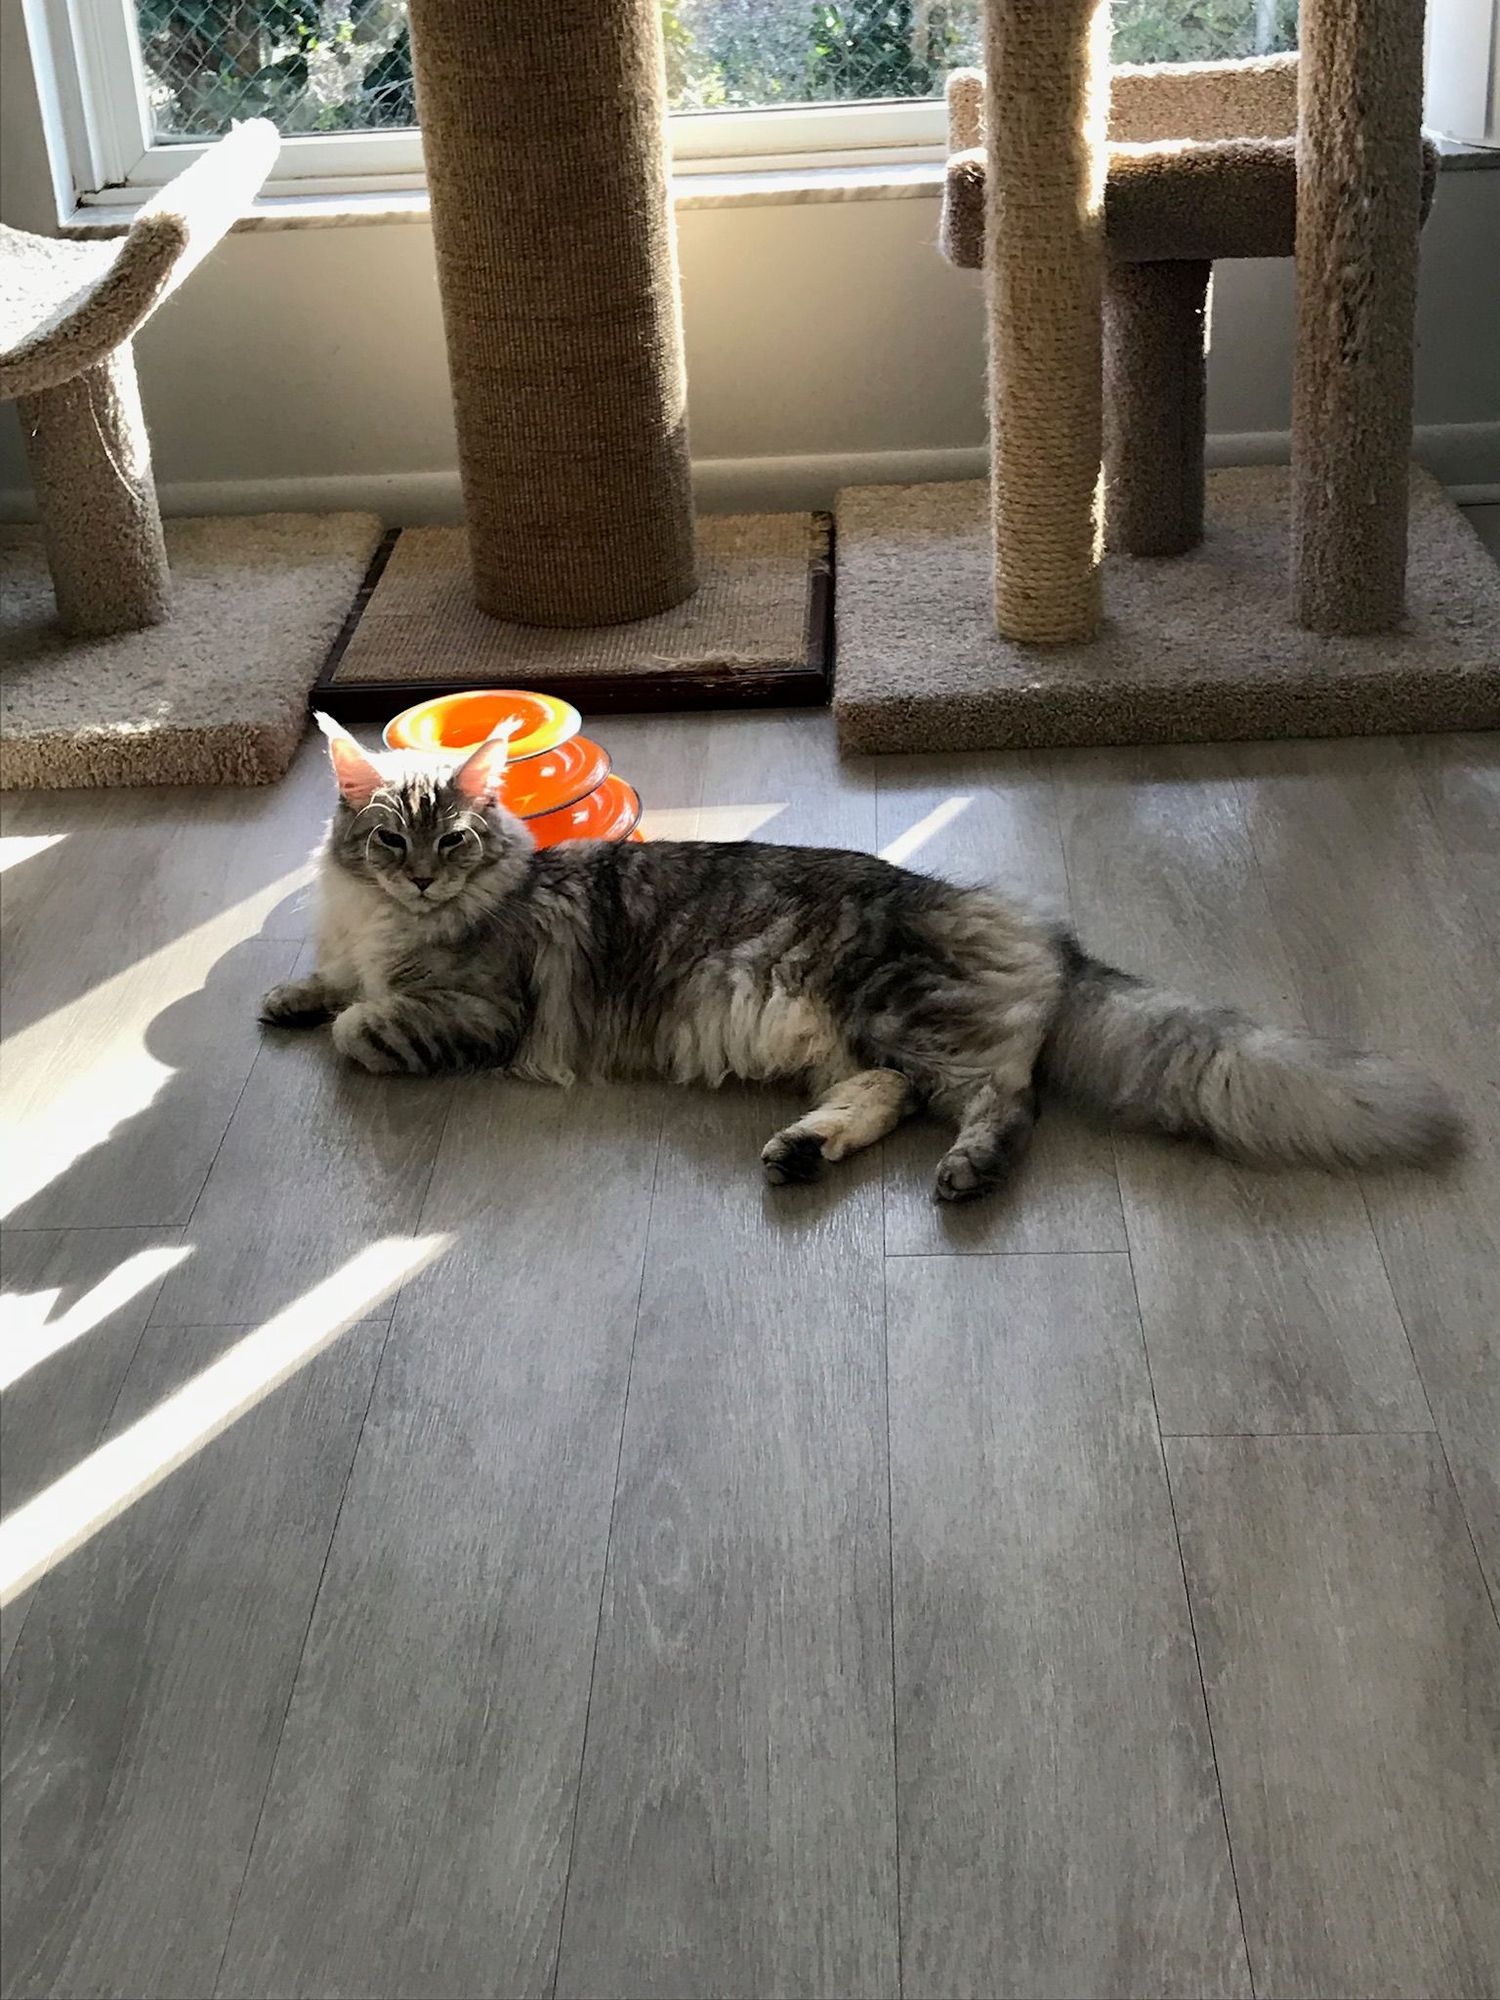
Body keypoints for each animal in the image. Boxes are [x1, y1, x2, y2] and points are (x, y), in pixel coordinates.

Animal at [259, 717, 1463, 1202]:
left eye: (452, 840)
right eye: (389, 840)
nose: (421, 879)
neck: (385, 922)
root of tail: (1047, 935)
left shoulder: (480, 1005)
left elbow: (368, 1023)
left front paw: (343, 1018)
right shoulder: (356, 947)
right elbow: (329, 983)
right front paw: (286, 995)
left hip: (898, 1006)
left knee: (1004, 1099)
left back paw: (965, 1175)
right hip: (854, 1039)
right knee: (892, 1097)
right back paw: (802, 1150)